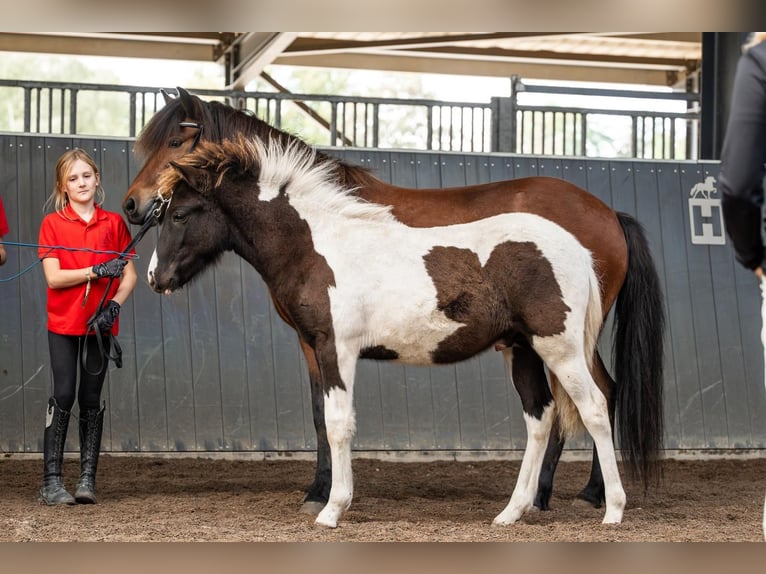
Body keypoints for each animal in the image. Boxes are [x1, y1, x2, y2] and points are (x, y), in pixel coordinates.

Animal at [123, 87, 665, 514]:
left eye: (179, 212)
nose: (153, 275)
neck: (319, 240)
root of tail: (589, 233)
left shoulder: (333, 347)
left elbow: (336, 422)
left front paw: (329, 502)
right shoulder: (315, 344)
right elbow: (324, 416)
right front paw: (323, 494)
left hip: (563, 346)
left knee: (595, 403)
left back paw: (603, 503)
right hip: (526, 348)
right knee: (550, 413)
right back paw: (526, 506)